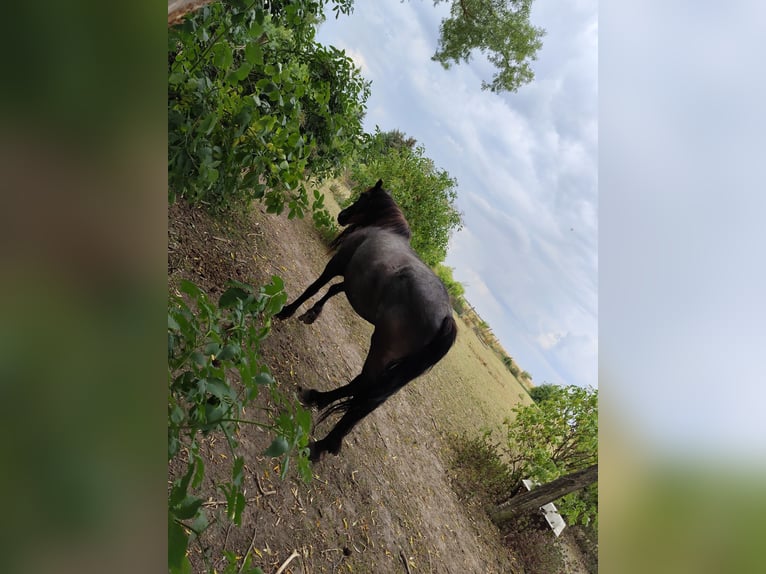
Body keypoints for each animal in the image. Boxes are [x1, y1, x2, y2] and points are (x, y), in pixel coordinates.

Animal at [275, 179, 458, 462]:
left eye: (363, 197)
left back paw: (322, 443)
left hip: (381, 352)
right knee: (362, 390)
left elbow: (315, 287)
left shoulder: (337, 264)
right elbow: (334, 290)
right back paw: (318, 399)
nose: (342, 216)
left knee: (364, 391)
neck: (384, 228)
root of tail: (446, 316)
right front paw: (312, 313)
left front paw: (288, 310)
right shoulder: (353, 279)